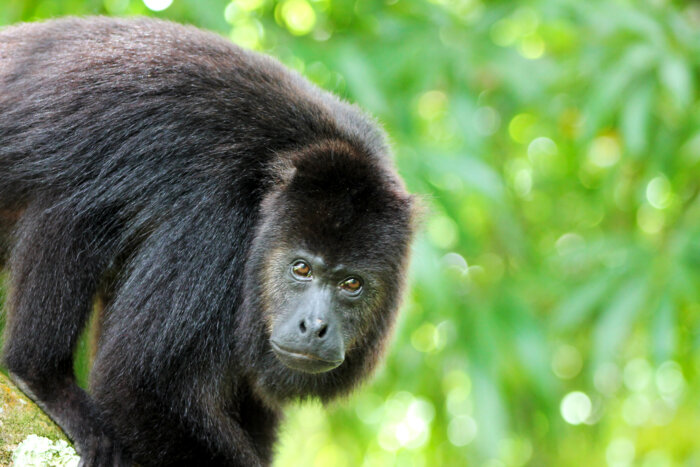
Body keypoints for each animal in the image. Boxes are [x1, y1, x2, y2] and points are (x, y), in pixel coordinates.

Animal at [0, 15, 416, 467]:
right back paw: (41, 374)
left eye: (351, 284)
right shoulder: (214, 230)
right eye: (301, 268)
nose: (315, 326)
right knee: (73, 205)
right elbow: (139, 385)